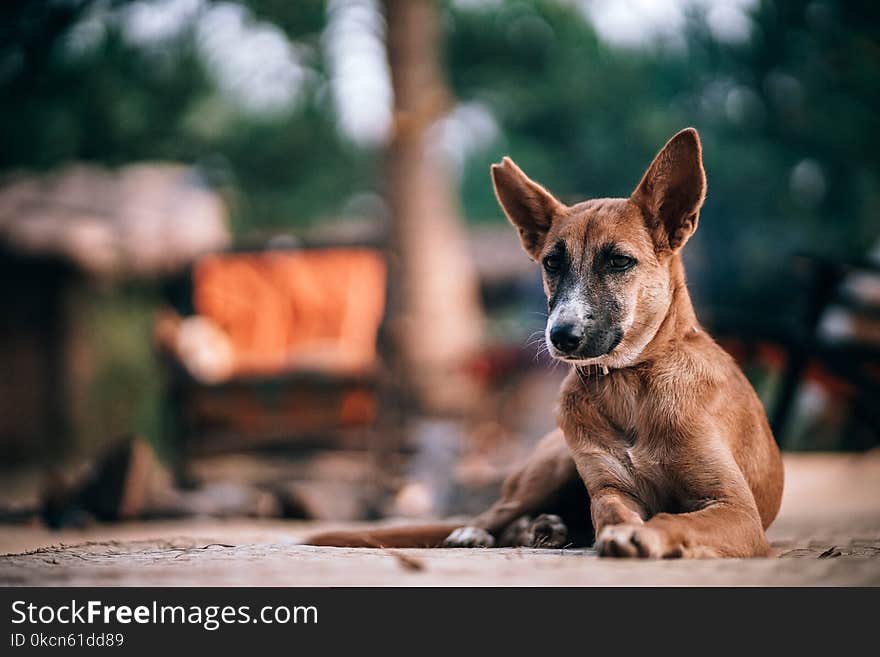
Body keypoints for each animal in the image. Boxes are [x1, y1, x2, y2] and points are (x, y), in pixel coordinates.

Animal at [308, 129, 784, 560]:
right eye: (553, 263)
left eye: (619, 261)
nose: (562, 336)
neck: (630, 383)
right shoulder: (609, 489)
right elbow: (611, 512)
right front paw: (621, 531)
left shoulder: (736, 510)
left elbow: (673, 518)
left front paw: (645, 536)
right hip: (552, 465)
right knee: (495, 513)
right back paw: (488, 532)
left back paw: (544, 529)